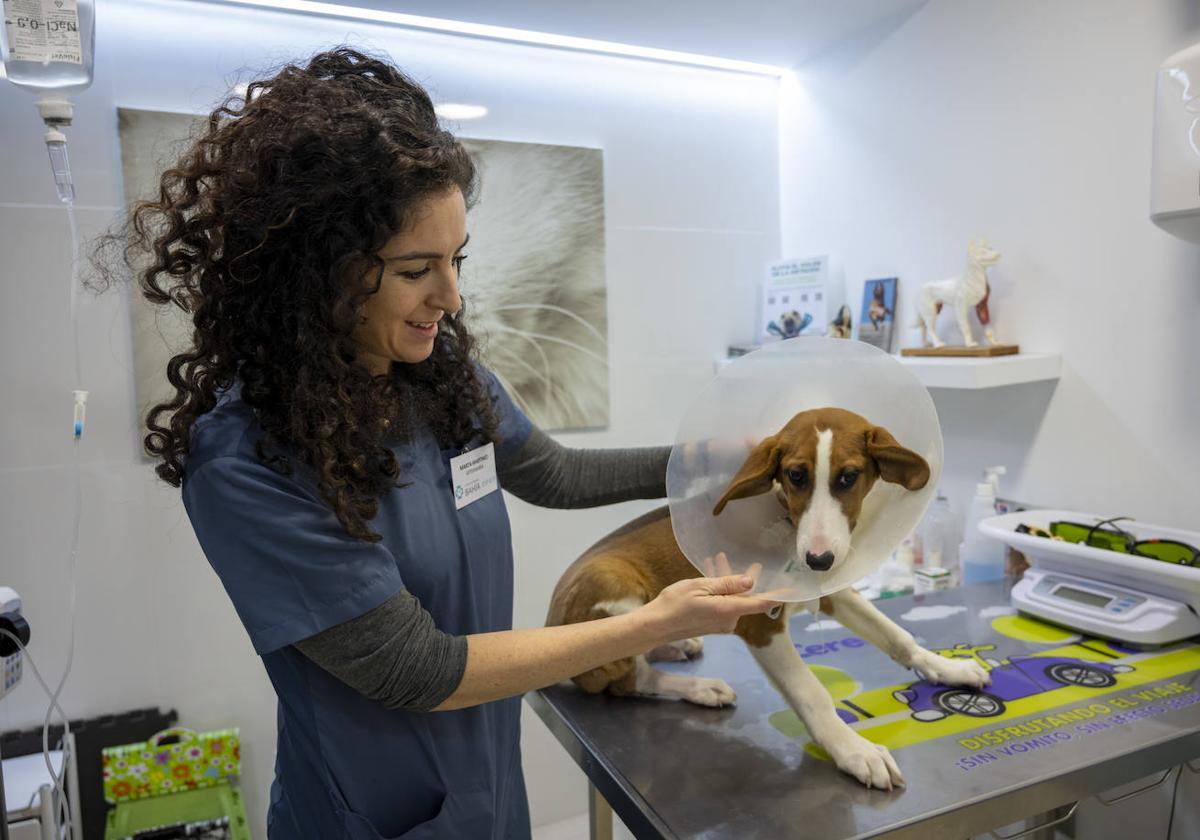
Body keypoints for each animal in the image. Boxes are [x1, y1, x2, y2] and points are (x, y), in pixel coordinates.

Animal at [549, 408, 988, 787]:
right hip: (612, 584)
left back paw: (679, 645)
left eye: (849, 477)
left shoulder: (833, 591)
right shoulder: (760, 623)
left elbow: (898, 636)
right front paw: (852, 750)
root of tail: (551, 618)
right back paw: (700, 686)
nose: (818, 559)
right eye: (795, 475)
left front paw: (948, 668)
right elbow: (812, 693)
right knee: (632, 677)